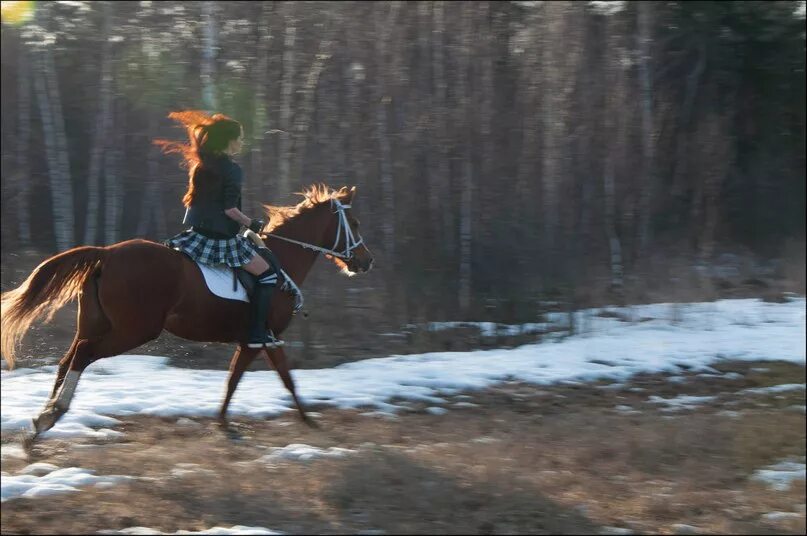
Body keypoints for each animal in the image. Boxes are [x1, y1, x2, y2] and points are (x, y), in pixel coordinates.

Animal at [1, 184, 374, 444]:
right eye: (355, 223)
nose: (366, 261)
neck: (281, 261)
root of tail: (106, 254)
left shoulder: (257, 340)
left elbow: (242, 379)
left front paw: (225, 424)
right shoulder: (263, 338)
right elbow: (278, 379)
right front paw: (310, 422)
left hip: (94, 323)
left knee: (68, 360)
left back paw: (41, 423)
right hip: (133, 331)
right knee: (83, 355)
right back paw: (51, 415)